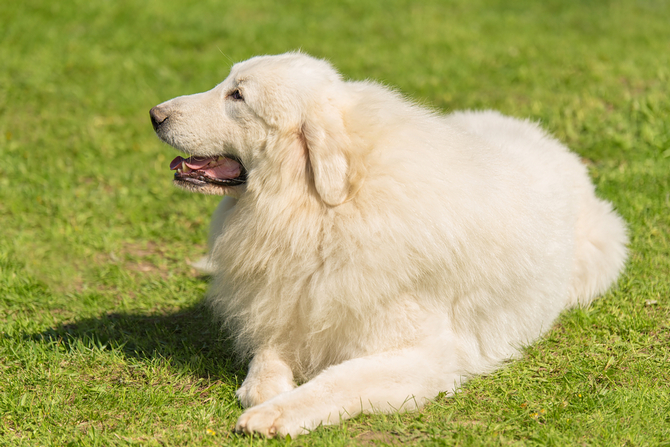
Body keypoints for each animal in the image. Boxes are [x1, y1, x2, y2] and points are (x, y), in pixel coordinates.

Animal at [151, 51, 632, 438]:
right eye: (226, 85)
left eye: (237, 96)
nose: (154, 114)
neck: (324, 212)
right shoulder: (288, 310)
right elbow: (265, 360)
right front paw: (265, 392)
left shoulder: (421, 356)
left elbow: (337, 380)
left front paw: (275, 415)